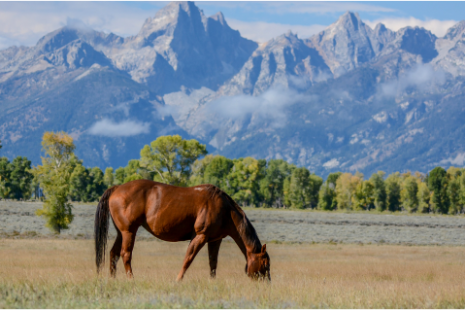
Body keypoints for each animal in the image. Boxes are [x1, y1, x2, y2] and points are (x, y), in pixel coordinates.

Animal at [93, 179, 268, 280]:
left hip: (121, 233)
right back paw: (131, 279)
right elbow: (188, 259)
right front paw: (178, 280)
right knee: (125, 255)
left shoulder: (215, 240)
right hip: (129, 232)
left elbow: (213, 262)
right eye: (265, 263)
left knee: (113, 253)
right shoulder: (200, 236)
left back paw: (113, 279)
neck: (225, 209)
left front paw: (212, 281)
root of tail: (116, 188)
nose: (266, 281)